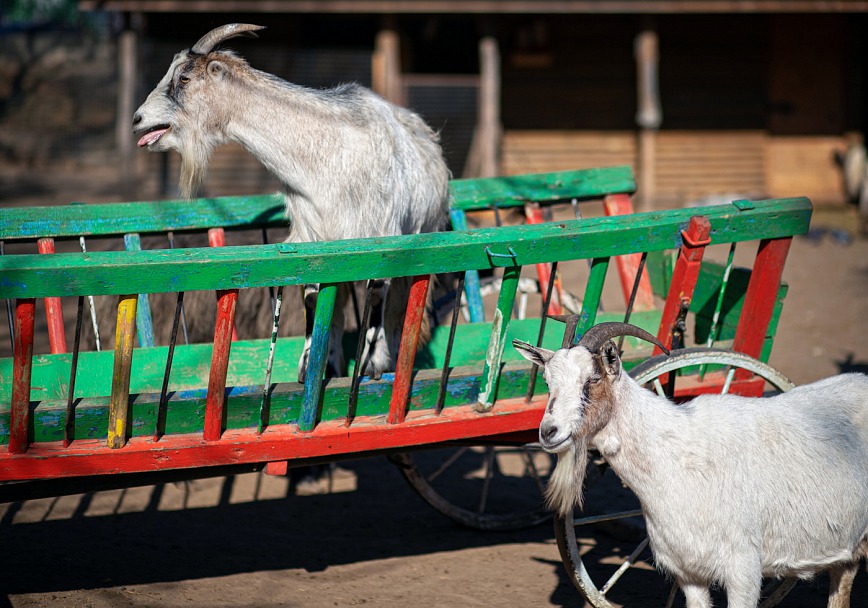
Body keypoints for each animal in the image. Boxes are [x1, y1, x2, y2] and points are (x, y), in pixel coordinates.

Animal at [134, 25, 454, 380]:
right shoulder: (313, 234)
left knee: (400, 305)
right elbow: (314, 298)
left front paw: (374, 361)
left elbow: (376, 293)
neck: (324, 154)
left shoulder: (382, 231)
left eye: (185, 77)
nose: (137, 119)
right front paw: (313, 364)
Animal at [516, 320, 868, 604]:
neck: (677, 456)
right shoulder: (688, 573)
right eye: (547, 382)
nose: (548, 432)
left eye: (592, 379)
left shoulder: (743, 570)